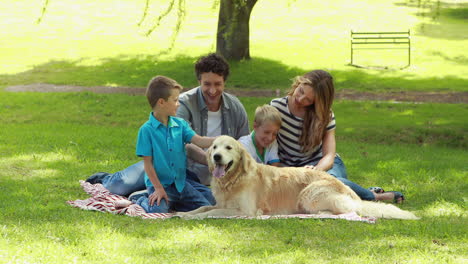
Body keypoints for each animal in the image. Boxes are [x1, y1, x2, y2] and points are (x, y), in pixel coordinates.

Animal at [177, 135, 418, 220]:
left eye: (228, 147)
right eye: (214, 147)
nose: (216, 157)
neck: (233, 180)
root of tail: (345, 188)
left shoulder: (244, 211)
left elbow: (212, 212)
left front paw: (192, 217)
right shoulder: (223, 203)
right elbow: (203, 207)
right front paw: (183, 213)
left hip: (308, 194)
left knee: (346, 212)